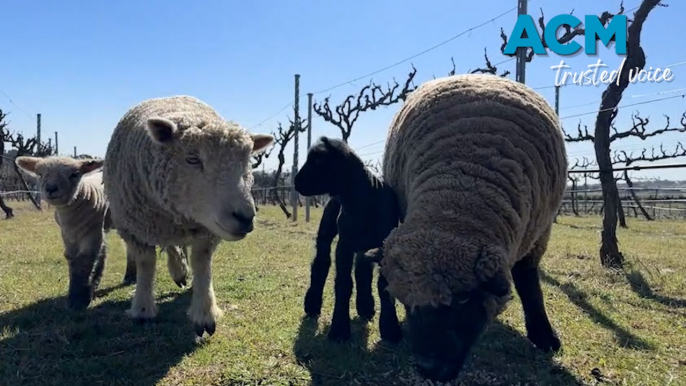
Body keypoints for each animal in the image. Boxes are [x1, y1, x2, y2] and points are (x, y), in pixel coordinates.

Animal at [103, 95, 274, 336]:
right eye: (192, 159)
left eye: (247, 162)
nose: (245, 217)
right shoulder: (134, 227)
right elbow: (146, 263)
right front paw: (143, 309)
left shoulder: (207, 231)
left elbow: (201, 262)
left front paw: (204, 313)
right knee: (170, 246)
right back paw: (177, 271)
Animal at [294, 137, 404, 342]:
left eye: (318, 161)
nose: (296, 183)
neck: (364, 199)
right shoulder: (344, 244)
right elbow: (343, 284)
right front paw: (339, 329)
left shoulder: (384, 244)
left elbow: (383, 284)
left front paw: (390, 328)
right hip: (328, 227)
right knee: (321, 262)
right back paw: (312, 304)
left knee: (362, 271)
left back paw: (366, 306)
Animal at [378, 73, 568, 382]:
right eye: (407, 303)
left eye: (465, 299)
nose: (431, 369)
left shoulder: (540, 233)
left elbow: (529, 283)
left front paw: (544, 337)